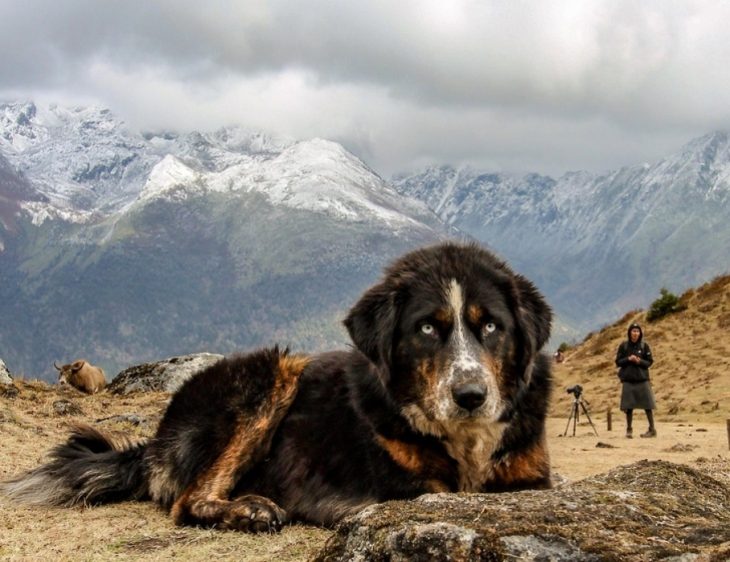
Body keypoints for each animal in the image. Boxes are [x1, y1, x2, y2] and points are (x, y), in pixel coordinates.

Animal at [2, 241, 552, 528]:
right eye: (427, 329)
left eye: (491, 326)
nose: (471, 397)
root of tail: (156, 438)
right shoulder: (402, 490)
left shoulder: (530, 477)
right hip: (270, 376)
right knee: (187, 502)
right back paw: (250, 509)